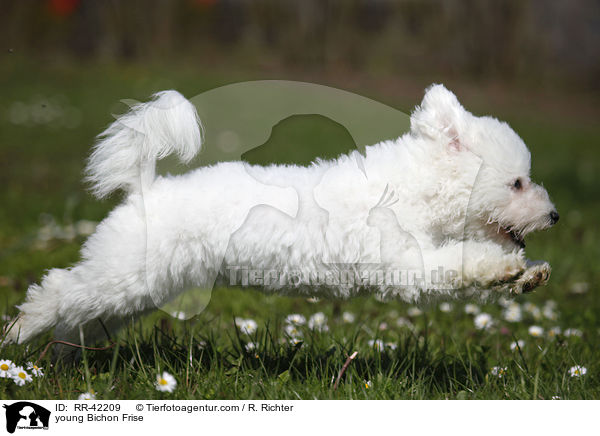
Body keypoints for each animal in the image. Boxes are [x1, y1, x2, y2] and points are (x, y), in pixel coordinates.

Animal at [3, 83, 556, 346]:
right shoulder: (409, 265)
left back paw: (66, 360)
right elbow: (463, 264)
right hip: (123, 274)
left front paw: (527, 274)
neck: (413, 187)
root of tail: (145, 188)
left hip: (138, 291)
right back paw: (19, 334)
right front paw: (507, 268)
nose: (552, 216)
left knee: (82, 322)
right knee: (57, 292)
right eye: (517, 182)